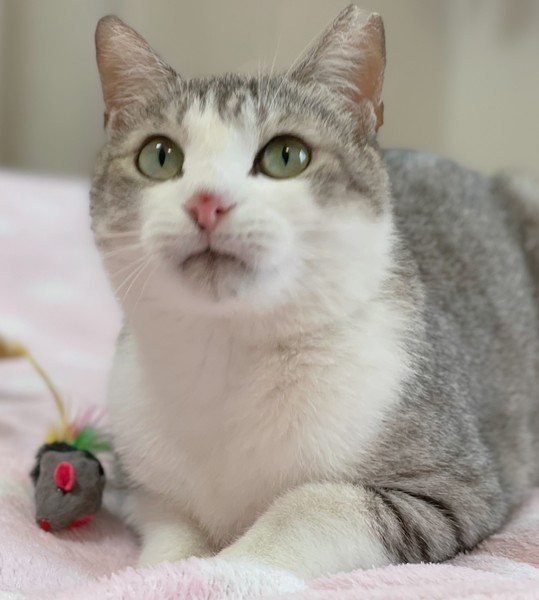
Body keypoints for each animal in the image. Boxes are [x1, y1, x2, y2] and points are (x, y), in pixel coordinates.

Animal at [91, 5, 539, 579]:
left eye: (287, 156)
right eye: (160, 157)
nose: (207, 202)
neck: (230, 358)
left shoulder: (453, 485)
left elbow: (316, 504)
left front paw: (231, 570)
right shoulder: (140, 481)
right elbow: (171, 528)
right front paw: (169, 570)